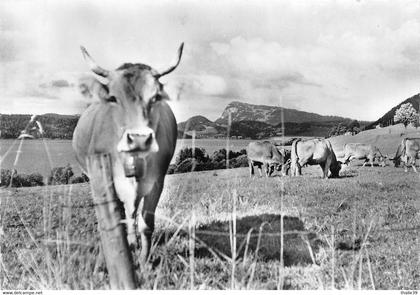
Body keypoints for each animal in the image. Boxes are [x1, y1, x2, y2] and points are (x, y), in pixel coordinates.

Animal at [72, 43, 184, 266]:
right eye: (113, 98)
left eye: (155, 97)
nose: (139, 139)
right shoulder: (108, 182)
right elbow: (116, 221)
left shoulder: (156, 182)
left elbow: (146, 223)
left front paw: (144, 260)